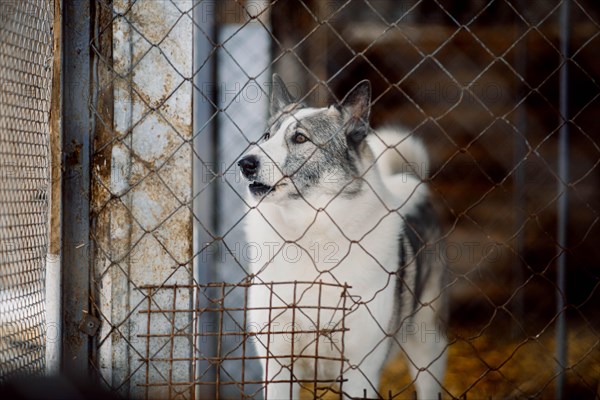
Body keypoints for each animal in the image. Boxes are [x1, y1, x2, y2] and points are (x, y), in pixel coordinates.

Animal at [237, 76, 448, 400]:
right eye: (266, 136)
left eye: (300, 138)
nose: (244, 163)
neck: (308, 237)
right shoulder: (278, 366)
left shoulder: (360, 371)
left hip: (426, 344)